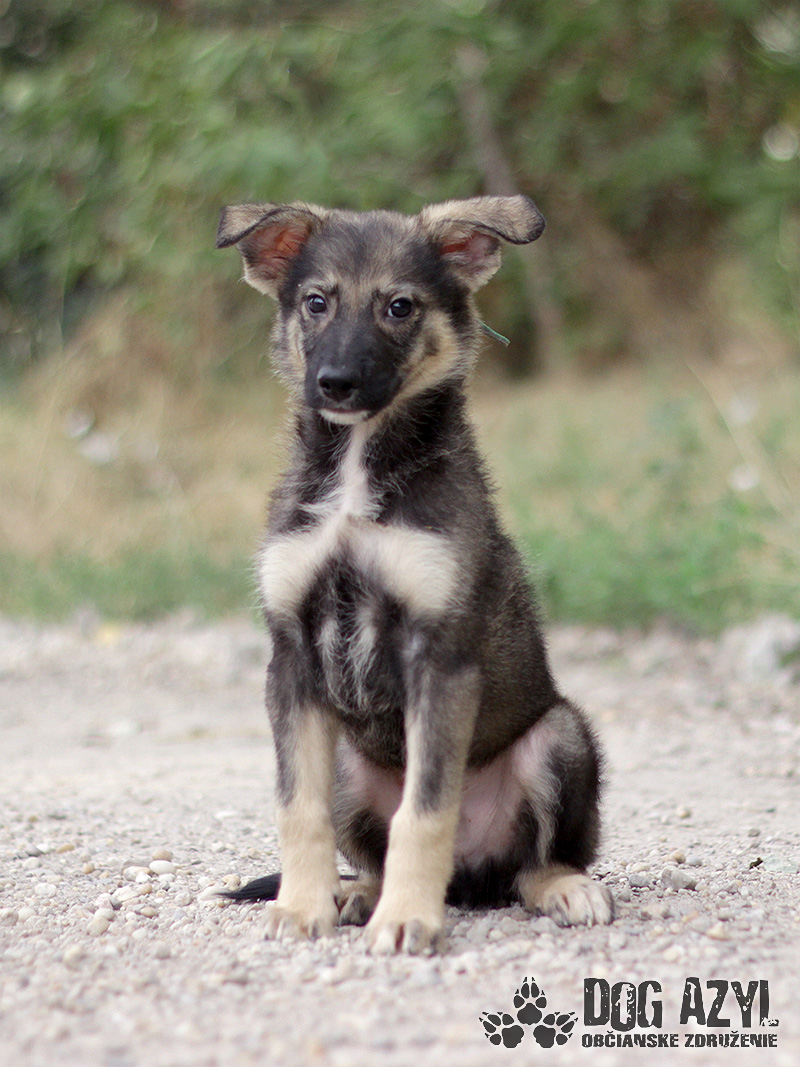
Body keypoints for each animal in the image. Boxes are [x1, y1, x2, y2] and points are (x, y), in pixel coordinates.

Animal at [216, 194, 614, 954]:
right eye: (315, 302)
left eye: (399, 307)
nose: (335, 384)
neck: (354, 468)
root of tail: (471, 879)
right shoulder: (292, 657)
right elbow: (297, 806)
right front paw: (302, 907)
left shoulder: (441, 655)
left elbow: (424, 809)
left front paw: (407, 918)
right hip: (348, 759)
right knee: (369, 852)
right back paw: (355, 893)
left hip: (561, 734)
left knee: (535, 862)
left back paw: (562, 887)